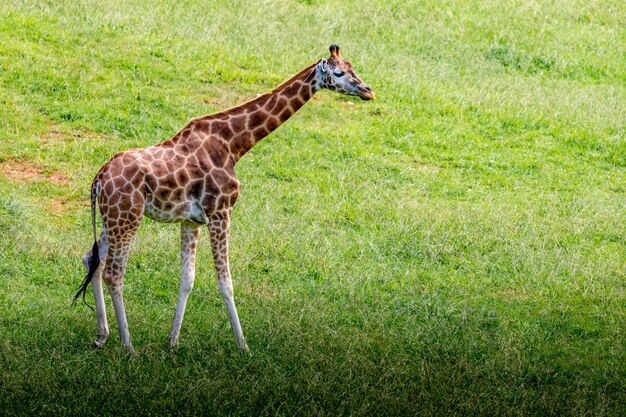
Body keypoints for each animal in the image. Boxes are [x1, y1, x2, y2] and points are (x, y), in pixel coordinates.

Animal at [75, 44, 372, 352]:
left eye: (353, 68)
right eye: (339, 73)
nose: (368, 91)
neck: (233, 143)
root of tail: (98, 179)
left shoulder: (191, 220)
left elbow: (187, 278)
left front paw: (173, 341)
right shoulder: (220, 212)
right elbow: (225, 282)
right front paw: (243, 346)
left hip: (112, 219)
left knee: (92, 259)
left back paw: (101, 335)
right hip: (127, 218)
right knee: (114, 273)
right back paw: (128, 347)